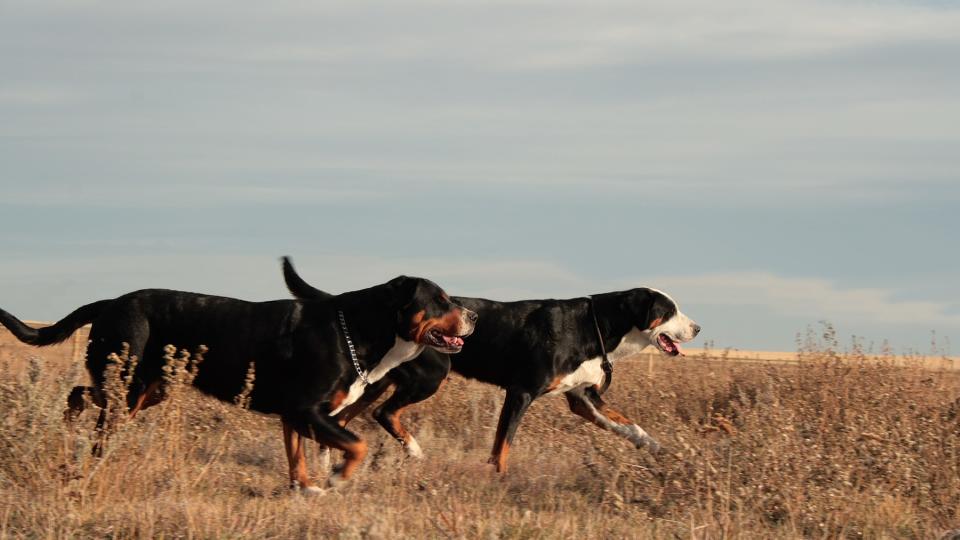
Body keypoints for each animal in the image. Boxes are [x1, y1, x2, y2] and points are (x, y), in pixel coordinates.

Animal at [0, 258, 478, 494]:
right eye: (440, 300)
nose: (473, 315)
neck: (358, 331)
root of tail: (110, 302)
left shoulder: (295, 416)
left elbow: (298, 458)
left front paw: (307, 489)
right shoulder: (306, 408)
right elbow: (356, 444)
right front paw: (339, 478)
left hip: (147, 389)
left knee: (79, 394)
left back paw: (66, 428)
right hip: (128, 389)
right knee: (93, 418)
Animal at [282, 260, 700, 474]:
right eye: (669, 311)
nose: (697, 327)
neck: (591, 327)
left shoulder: (583, 399)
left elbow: (630, 426)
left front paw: (661, 449)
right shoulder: (522, 391)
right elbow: (504, 444)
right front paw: (497, 478)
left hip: (376, 382)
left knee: (344, 417)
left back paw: (328, 461)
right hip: (429, 376)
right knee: (385, 414)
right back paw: (413, 452)